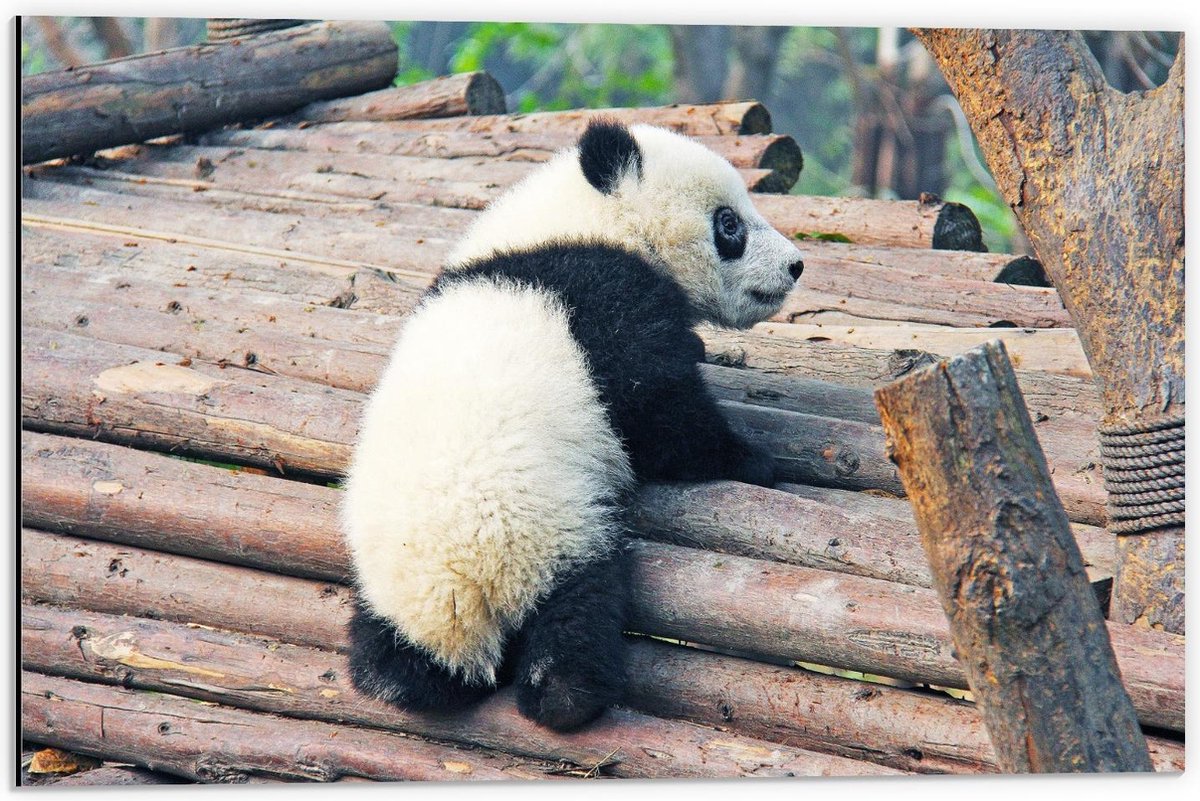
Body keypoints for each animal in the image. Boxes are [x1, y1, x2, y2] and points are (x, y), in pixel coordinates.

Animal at [341, 119, 804, 731]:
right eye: (729, 224)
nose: (796, 266)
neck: (580, 220)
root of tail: (459, 593)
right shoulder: (603, 298)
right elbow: (659, 414)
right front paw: (752, 459)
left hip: (391, 586)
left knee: (391, 656)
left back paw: (398, 676)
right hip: (551, 530)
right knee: (579, 608)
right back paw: (567, 695)